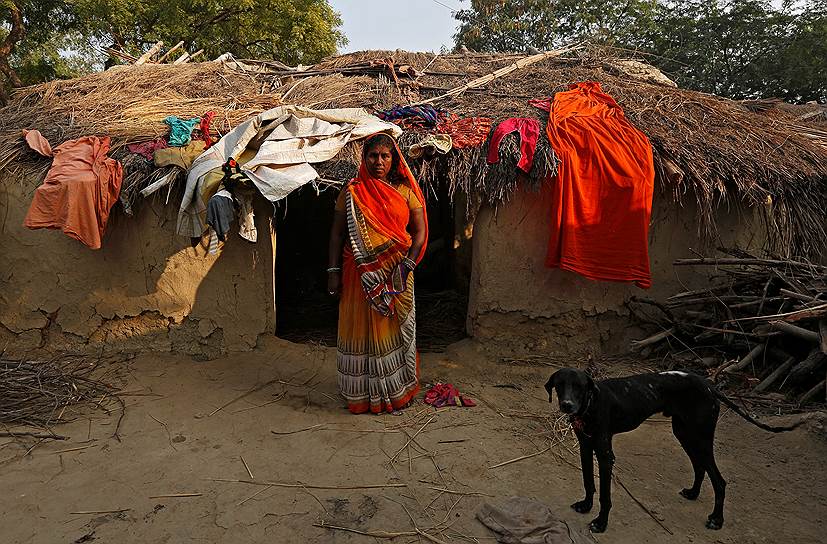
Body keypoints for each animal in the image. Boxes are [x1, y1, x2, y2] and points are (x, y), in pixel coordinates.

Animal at [548, 368, 800, 532]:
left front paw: (601, 523)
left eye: (579, 387)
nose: (567, 405)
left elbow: (605, 495)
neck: (590, 405)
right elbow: (588, 482)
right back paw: (693, 493)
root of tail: (710, 386)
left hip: (701, 438)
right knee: (700, 467)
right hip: (685, 434)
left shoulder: (605, 455)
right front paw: (586, 505)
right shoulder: (585, 447)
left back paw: (717, 520)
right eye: (560, 385)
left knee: (719, 481)